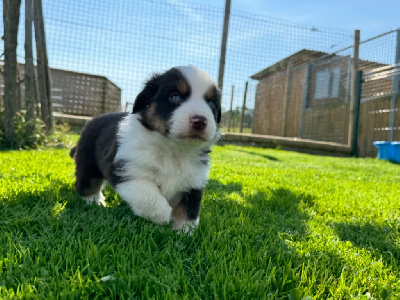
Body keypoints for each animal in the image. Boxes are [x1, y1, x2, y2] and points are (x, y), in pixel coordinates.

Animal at [71, 66, 222, 232]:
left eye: (212, 103)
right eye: (175, 97)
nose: (200, 121)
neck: (173, 150)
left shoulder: (193, 181)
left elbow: (189, 208)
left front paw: (184, 231)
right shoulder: (126, 170)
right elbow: (147, 194)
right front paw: (163, 215)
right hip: (88, 163)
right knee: (87, 183)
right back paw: (95, 200)